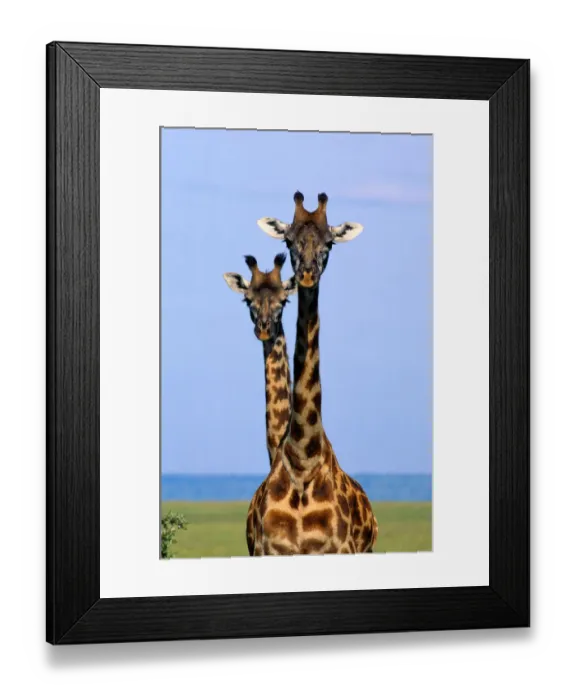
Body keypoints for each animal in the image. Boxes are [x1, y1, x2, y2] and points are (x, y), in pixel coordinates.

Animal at [247, 192, 378, 556]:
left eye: (329, 242)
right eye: (288, 240)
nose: (307, 274)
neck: (303, 459)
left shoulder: (340, 550)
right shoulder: (268, 550)